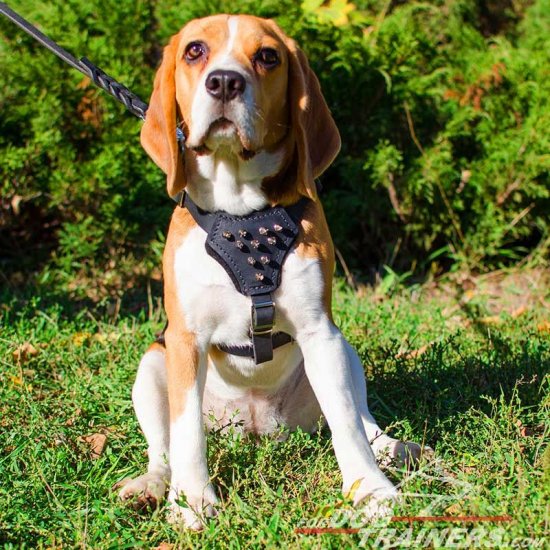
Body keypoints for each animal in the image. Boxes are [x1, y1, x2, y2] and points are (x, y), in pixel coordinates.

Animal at [116, 12, 424, 532]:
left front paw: (370, 490)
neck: (240, 212)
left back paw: (392, 448)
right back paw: (153, 485)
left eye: (267, 56)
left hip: (345, 352)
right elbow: (186, 433)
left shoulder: (320, 332)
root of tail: (258, 424)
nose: (224, 81)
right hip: (152, 364)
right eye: (195, 51)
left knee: (361, 419)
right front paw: (193, 501)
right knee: (163, 448)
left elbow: (346, 424)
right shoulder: (185, 340)